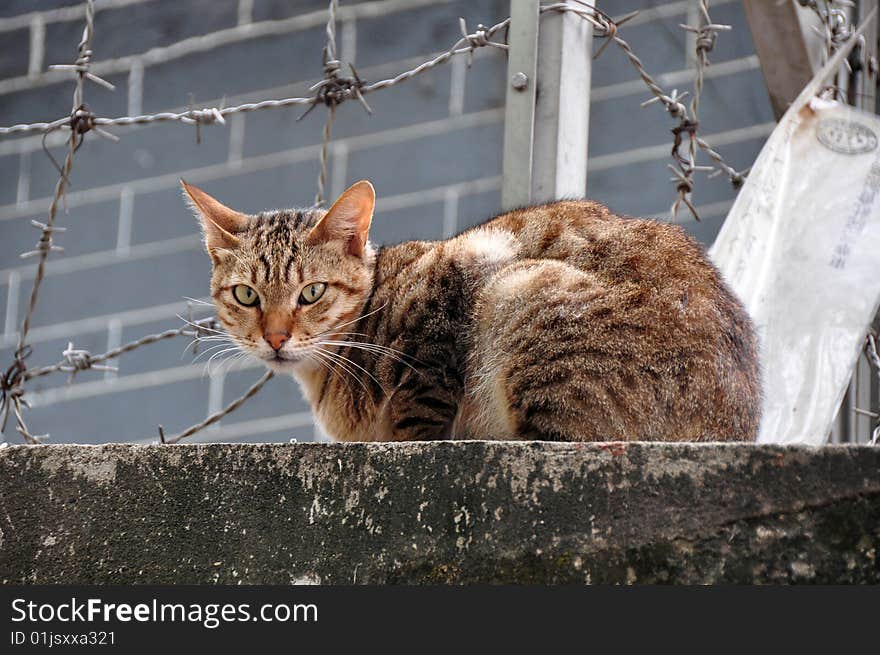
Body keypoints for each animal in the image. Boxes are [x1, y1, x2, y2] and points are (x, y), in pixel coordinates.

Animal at [182, 179, 760, 444]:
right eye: (246, 295)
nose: (276, 338)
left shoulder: (458, 275)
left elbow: (419, 412)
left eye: (311, 293)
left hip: (525, 292)